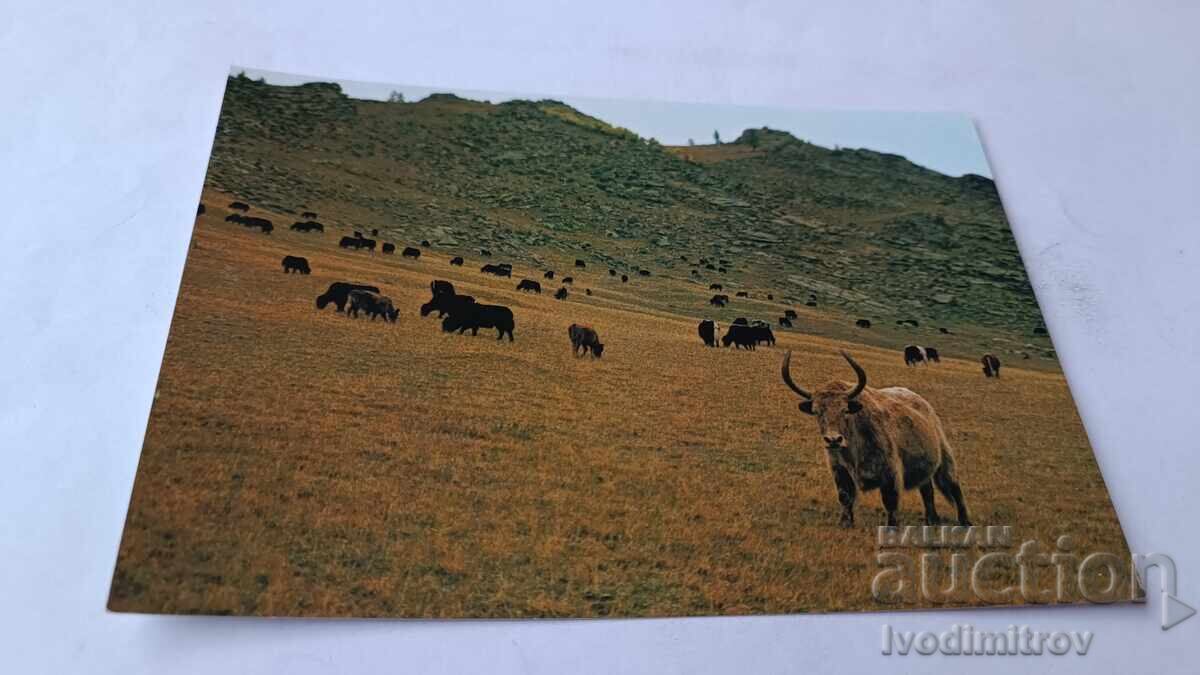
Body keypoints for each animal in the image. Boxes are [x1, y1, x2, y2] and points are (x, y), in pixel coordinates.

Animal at [780, 350, 971, 527]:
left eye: (845, 410)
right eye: (817, 412)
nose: (833, 440)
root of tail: (925, 405)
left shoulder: (890, 472)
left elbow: (890, 502)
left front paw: (892, 527)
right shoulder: (839, 470)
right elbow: (845, 497)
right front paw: (845, 523)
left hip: (945, 459)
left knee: (954, 487)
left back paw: (965, 521)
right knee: (927, 490)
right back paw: (932, 520)